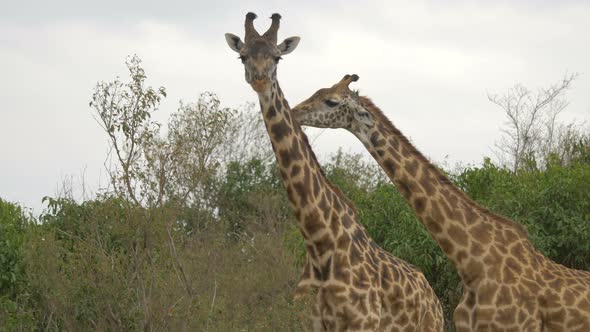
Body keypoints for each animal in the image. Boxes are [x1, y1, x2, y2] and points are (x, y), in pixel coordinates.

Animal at [225, 13, 444, 332]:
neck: (319, 243)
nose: (260, 80)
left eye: (278, 57)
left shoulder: (362, 323)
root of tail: (434, 299)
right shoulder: (311, 323)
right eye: (243, 56)